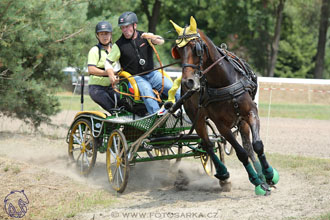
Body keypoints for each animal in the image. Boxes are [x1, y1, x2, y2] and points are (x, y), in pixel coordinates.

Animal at [169, 17, 280, 196]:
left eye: (195, 48)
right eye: (178, 51)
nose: (188, 82)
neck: (223, 82)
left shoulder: (250, 112)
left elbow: (256, 145)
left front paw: (269, 175)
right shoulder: (221, 126)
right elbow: (240, 153)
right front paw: (256, 180)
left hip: (240, 120)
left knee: (248, 145)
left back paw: (262, 176)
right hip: (197, 119)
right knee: (208, 145)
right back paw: (223, 174)